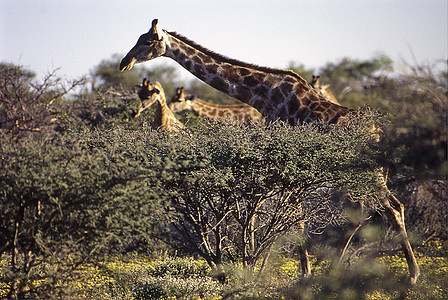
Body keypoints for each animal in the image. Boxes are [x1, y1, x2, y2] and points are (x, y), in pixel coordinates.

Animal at [120, 18, 420, 284]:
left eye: (147, 41)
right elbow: (286, 208)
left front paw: (271, 264)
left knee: (392, 209)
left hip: (368, 171)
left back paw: (413, 275)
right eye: (137, 38)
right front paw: (299, 269)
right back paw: (335, 270)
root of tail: (380, 132)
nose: (125, 62)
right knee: (367, 212)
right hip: (359, 173)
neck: (260, 93)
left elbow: (274, 205)